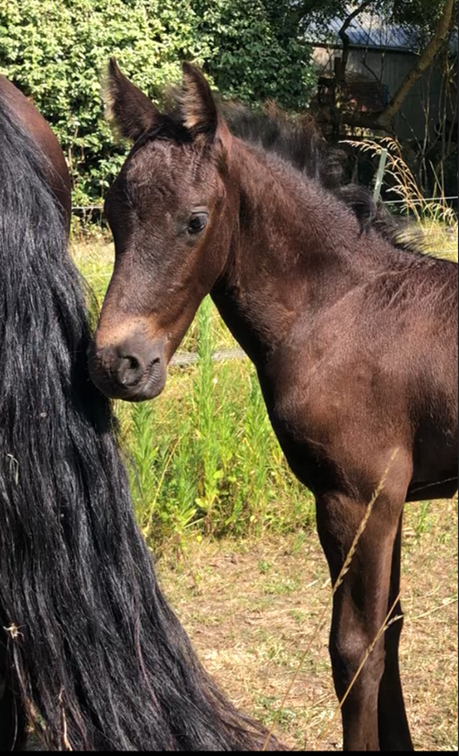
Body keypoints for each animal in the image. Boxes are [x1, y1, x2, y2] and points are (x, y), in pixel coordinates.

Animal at [88, 60, 459, 752]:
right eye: (112, 215)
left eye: (195, 221)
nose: (119, 364)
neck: (338, 308)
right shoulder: (389, 498)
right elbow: (391, 628)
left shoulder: (354, 497)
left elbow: (355, 651)